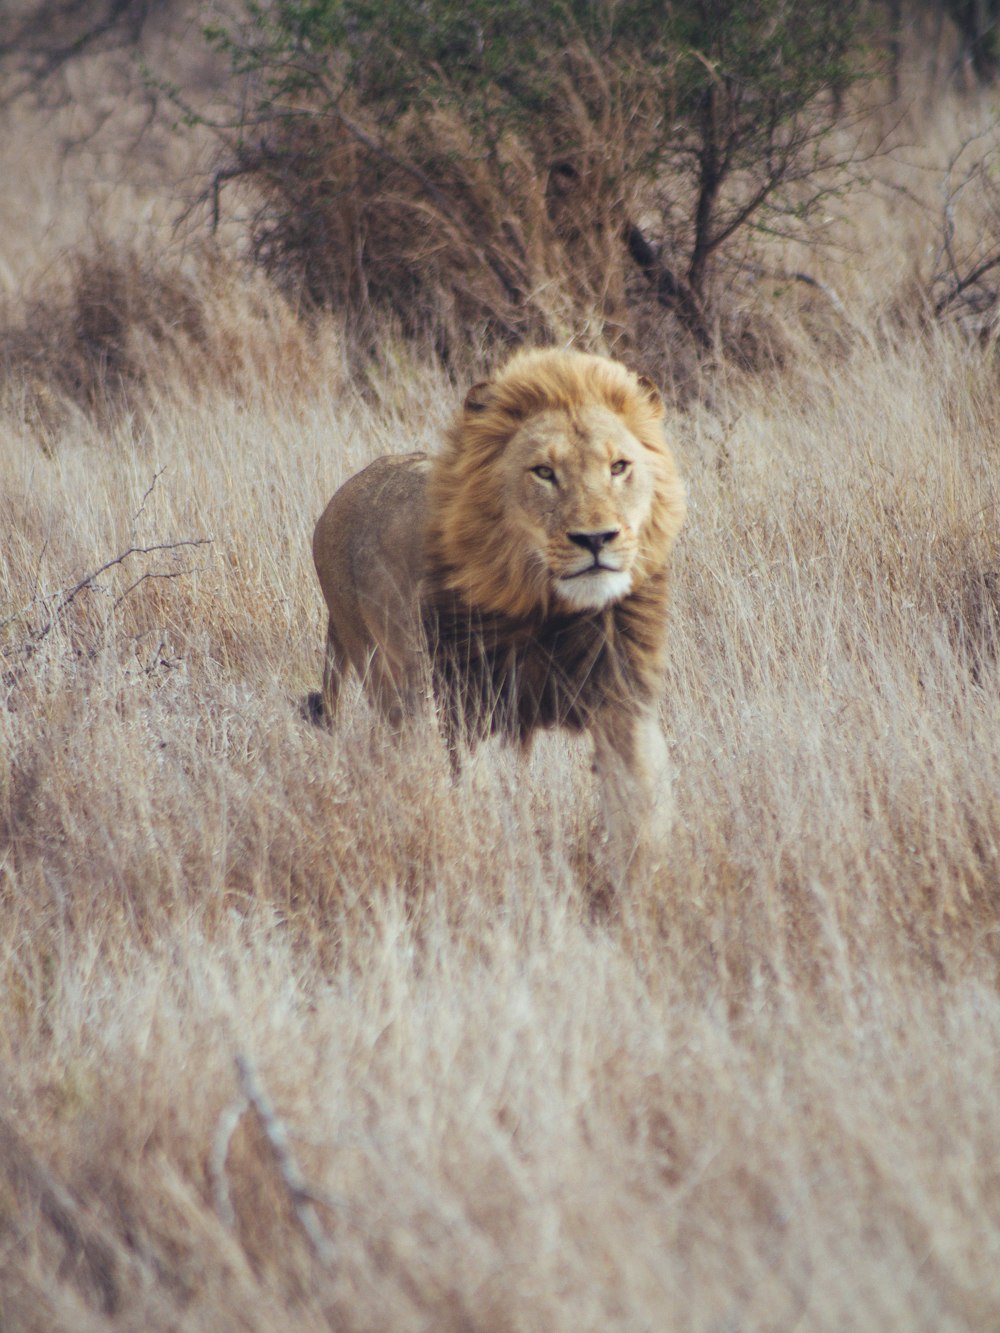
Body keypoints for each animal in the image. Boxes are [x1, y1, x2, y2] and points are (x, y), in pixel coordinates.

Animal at [313, 343, 688, 874]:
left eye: (619, 466)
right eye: (544, 473)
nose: (596, 539)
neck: (551, 608)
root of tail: (344, 492)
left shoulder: (622, 693)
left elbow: (640, 804)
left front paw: (649, 880)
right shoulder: (472, 704)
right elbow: (484, 794)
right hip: (390, 680)